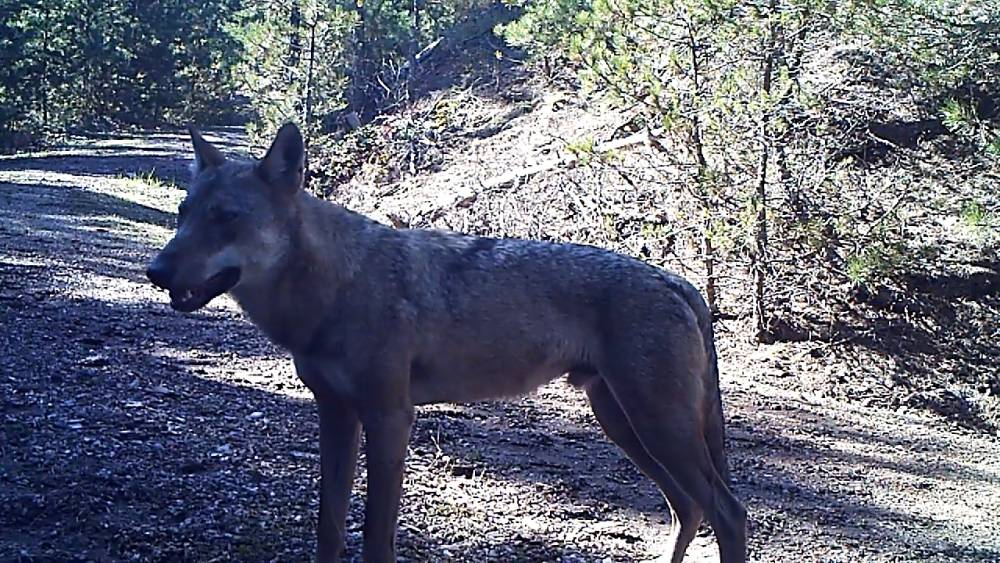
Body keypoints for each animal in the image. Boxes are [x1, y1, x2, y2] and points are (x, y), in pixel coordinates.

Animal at [145, 124, 748, 563]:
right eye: (182, 215)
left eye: (226, 218)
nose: (155, 271)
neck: (338, 284)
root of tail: (678, 282)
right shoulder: (336, 415)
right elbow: (329, 524)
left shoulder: (391, 418)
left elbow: (376, 535)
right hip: (627, 425)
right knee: (688, 508)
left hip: (654, 427)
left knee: (728, 512)